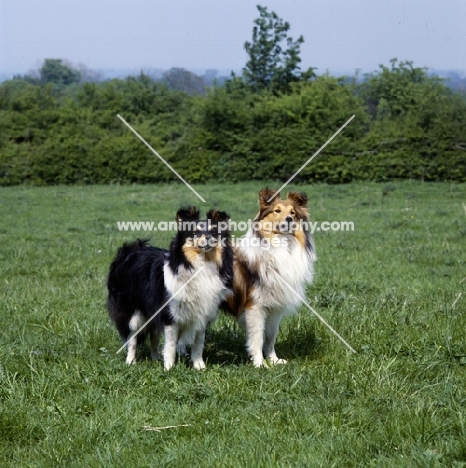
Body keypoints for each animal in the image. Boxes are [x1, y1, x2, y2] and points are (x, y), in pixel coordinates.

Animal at [106, 207, 232, 372]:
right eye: (195, 232)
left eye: (213, 232)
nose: (208, 238)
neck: (200, 265)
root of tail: (129, 251)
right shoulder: (170, 316)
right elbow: (171, 345)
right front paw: (169, 368)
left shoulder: (202, 314)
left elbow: (198, 344)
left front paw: (199, 366)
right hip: (134, 313)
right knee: (132, 338)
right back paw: (131, 362)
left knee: (153, 337)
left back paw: (155, 360)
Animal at [223, 188, 316, 368]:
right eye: (277, 211)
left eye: (293, 213)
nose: (289, 219)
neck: (281, 244)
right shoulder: (255, 306)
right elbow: (258, 337)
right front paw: (260, 364)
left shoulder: (275, 307)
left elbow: (271, 336)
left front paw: (274, 360)